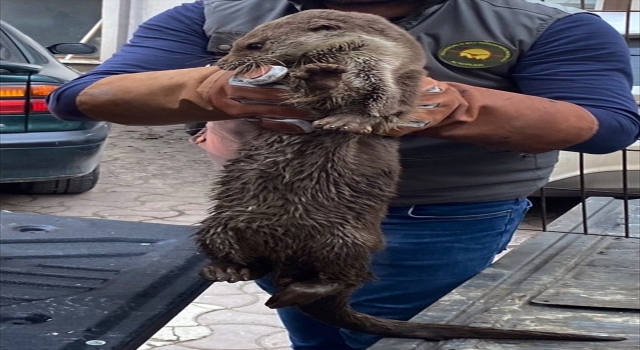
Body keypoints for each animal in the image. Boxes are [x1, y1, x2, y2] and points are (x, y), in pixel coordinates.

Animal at [192, 8, 624, 342]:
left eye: (254, 46)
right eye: (236, 43)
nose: (221, 65)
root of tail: (290, 260)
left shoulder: (380, 65)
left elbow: (378, 99)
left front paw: (336, 97)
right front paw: (316, 81)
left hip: (345, 237)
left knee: (351, 276)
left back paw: (301, 286)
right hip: (222, 224)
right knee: (254, 264)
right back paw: (226, 268)